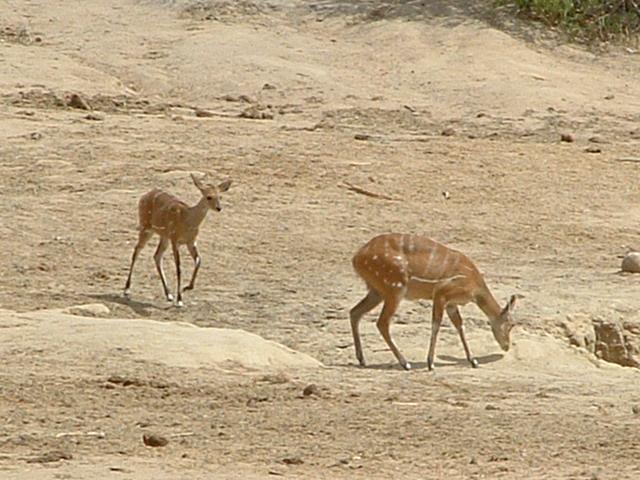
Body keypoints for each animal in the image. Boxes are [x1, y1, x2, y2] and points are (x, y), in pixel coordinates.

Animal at [123, 173, 232, 308]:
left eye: (220, 196)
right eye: (208, 197)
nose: (219, 208)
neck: (188, 221)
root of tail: (144, 196)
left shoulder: (191, 242)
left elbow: (199, 260)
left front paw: (187, 288)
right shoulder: (175, 240)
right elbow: (179, 267)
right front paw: (180, 300)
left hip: (164, 236)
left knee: (157, 256)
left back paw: (169, 295)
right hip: (146, 227)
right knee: (137, 250)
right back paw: (127, 290)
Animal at [350, 233, 520, 372]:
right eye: (511, 324)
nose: (507, 346)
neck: (474, 287)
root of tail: (356, 257)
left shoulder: (452, 303)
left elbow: (459, 325)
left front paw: (473, 360)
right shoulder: (440, 294)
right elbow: (436, 324)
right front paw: (430, 363)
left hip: (376, 291)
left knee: (355, 312)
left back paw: (362, 359)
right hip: (395, 288)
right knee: (382, 322)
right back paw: (405, 363)